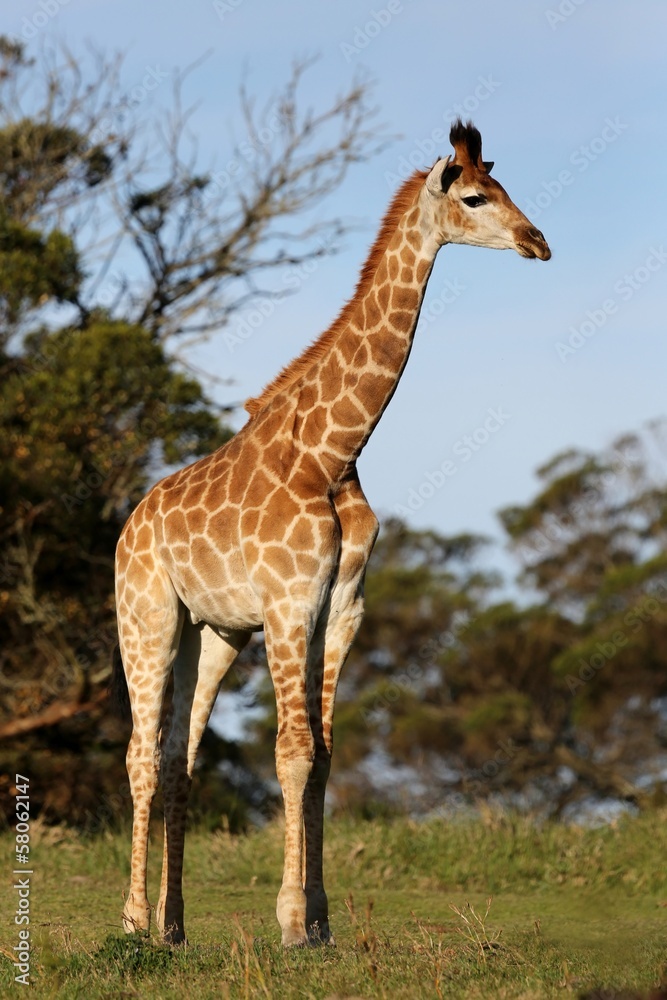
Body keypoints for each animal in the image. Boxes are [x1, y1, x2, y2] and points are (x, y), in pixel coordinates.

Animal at [114, 118, 550, 948]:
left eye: (505, 188)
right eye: (476, 197)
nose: (537, 241)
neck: (335, 450)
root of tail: (129, 524)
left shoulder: (339, 607)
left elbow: (321, 754)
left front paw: (318, 917)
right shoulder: (289, 601)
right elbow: (290, 752)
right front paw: (290, 921)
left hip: (212, 631)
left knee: (181, 756)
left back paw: (173, 927)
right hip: (145, 615)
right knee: (141, 756)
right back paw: (130, 923)